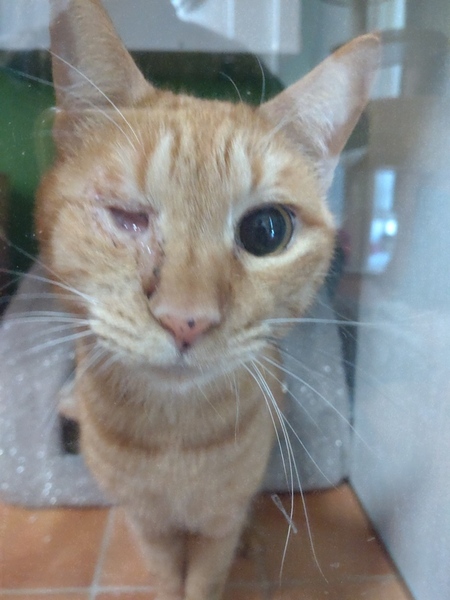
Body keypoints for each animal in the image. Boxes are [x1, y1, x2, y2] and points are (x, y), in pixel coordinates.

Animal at [35, 1, 380, 598]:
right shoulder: (149, 527)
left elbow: (205, 578)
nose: (185, 320)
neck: (174, 439)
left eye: (267, 231)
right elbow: (166, 577)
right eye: (127, 217)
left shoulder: (217, 526)